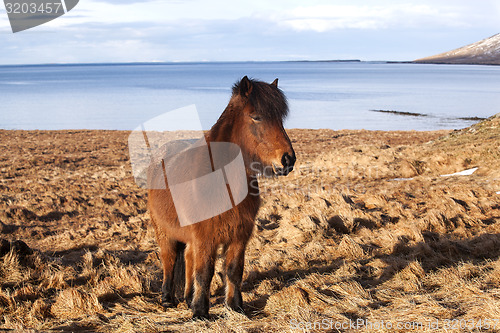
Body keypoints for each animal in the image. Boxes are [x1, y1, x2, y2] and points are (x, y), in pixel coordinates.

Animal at [148, 76, 296, 318]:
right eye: (256, 116)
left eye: (281, 118)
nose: (287, 160)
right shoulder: (205, 237)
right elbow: (205, 272)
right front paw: (200, 312)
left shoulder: (239, 235)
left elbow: (233, 270)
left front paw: (235, 306)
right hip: (164, 232)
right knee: (169, 261)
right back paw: (168, 298)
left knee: (187, 258)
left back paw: (187, 298)